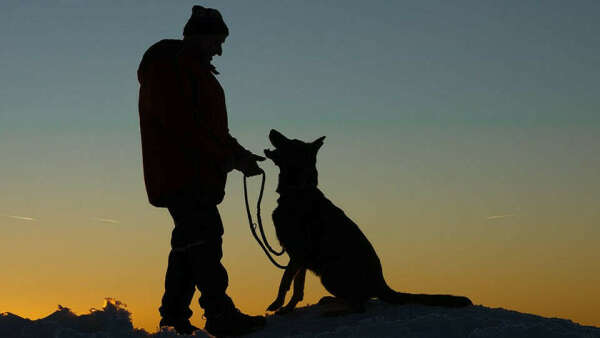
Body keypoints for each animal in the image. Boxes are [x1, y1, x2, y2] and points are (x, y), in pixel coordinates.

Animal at [264, 129, 474, 314]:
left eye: (290, 142)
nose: (272, 130)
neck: (298, 191)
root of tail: (381, 284)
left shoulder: (298, 253)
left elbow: (285, 281)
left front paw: (277, 303)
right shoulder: (300, 258)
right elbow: (297, 287)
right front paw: (288, 308)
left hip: (329, 274)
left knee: (360, 305)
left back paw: (336, 312)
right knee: (358, 299)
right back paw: (332, 301)